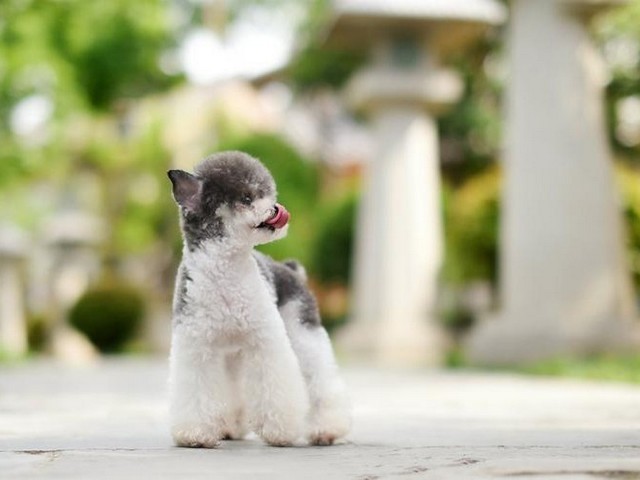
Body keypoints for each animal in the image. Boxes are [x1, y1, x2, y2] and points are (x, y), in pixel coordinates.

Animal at [168, 152, 352, 448]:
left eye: (267, 193)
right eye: (246, 198)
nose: (276, 208)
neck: (226, 273)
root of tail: (290, 269)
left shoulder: (265, 341)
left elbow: (275, 388)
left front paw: (279, 431)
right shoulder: (197, 347)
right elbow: (198, 391)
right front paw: (196, 433)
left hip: (302, 333)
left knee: (320, 379)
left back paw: (327, 429)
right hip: (232, 356)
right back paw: (230, 428)